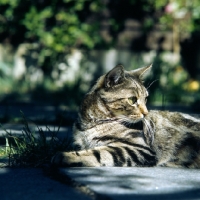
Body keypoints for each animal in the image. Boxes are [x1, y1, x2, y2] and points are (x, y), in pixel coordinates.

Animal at [51, 65, 200, 168]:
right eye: (132, 100)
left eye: (146, 99)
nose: (146, 113)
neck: (92, 123)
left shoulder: (139, 148)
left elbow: (98, 153)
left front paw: (66, 156)